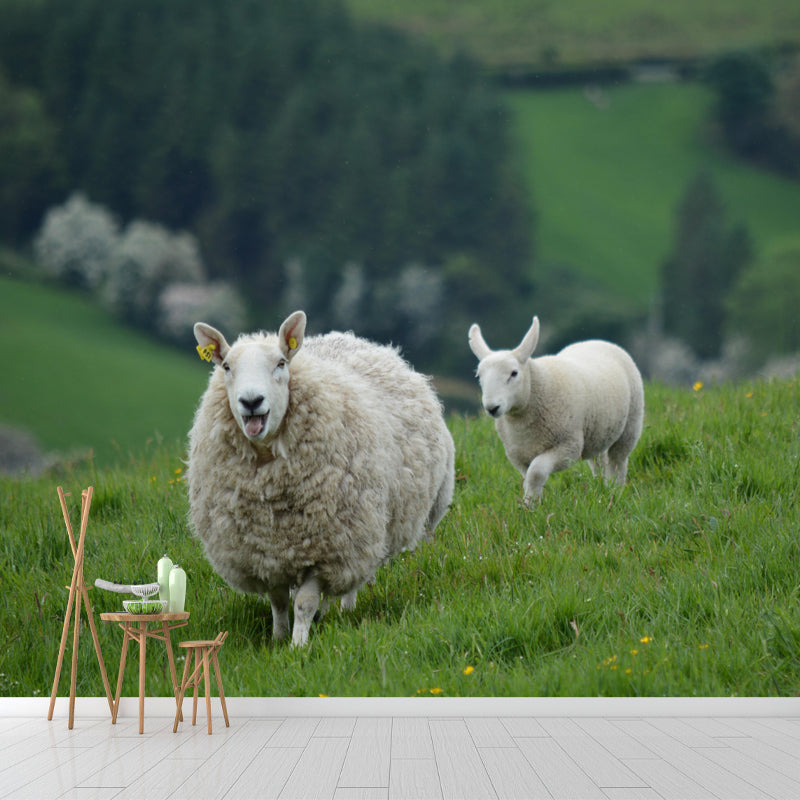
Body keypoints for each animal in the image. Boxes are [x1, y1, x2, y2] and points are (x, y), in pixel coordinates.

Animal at [186, 310, 455, 646]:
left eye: (281, 363)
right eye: (226, 367)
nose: (251, 401)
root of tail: (351, 338)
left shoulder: (327, 547)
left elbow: (304, 601)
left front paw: (298, 645)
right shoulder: (264, 551)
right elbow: (279, 601)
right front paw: (277, 639)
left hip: (365, 529)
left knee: (354, 577)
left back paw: (344, 611)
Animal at [468, 316, 644, 505]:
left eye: (514, 373)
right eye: (479, 376)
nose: (492, 407)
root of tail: (597, 341)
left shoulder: (568, 446)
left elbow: (536, 472)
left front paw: (530, 505)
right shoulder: (518, 456)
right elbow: (528, 478)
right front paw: (531, 503)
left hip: (631, 425)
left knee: (618, 461)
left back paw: (614, 491)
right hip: (599, 431)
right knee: (599, 460)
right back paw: (601, 489)